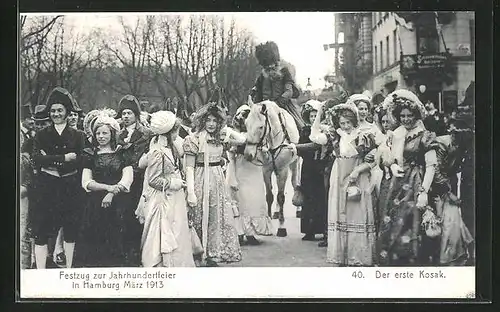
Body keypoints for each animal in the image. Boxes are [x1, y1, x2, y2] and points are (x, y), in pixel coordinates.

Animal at [244, 97, 298, 236]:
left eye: (261, 127)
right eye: (246, 124)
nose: (248, 154)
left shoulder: (283, 170)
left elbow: (281, 197)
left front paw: (281, 226)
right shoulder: (266, 170)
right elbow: (270, 196)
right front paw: (267, 221)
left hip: (295, 164)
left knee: (294, 183)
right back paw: (277, 212)